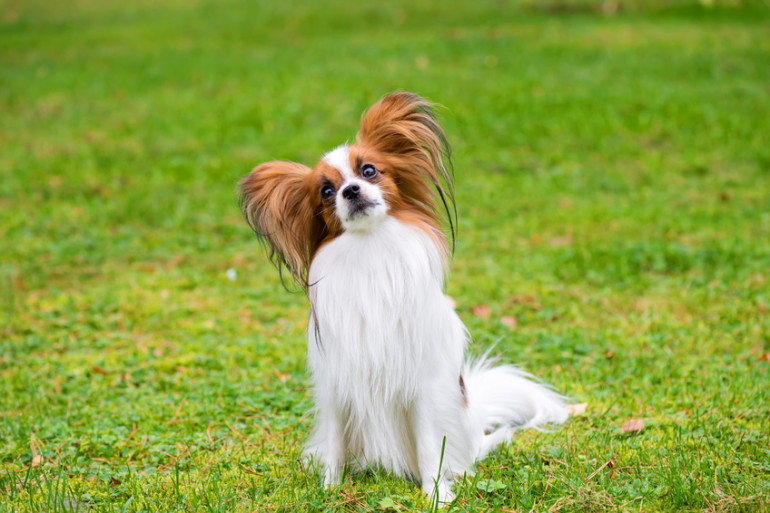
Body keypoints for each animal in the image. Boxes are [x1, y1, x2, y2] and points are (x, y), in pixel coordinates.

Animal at [237, 93, 568, 504]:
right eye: (326, 192)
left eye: (369, 171)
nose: (350, 191)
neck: (370, 249)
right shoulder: (337, 384)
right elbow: (333, 445)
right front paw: (329, 489)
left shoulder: (422, 385)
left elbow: (429, 446)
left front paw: (436, 495)